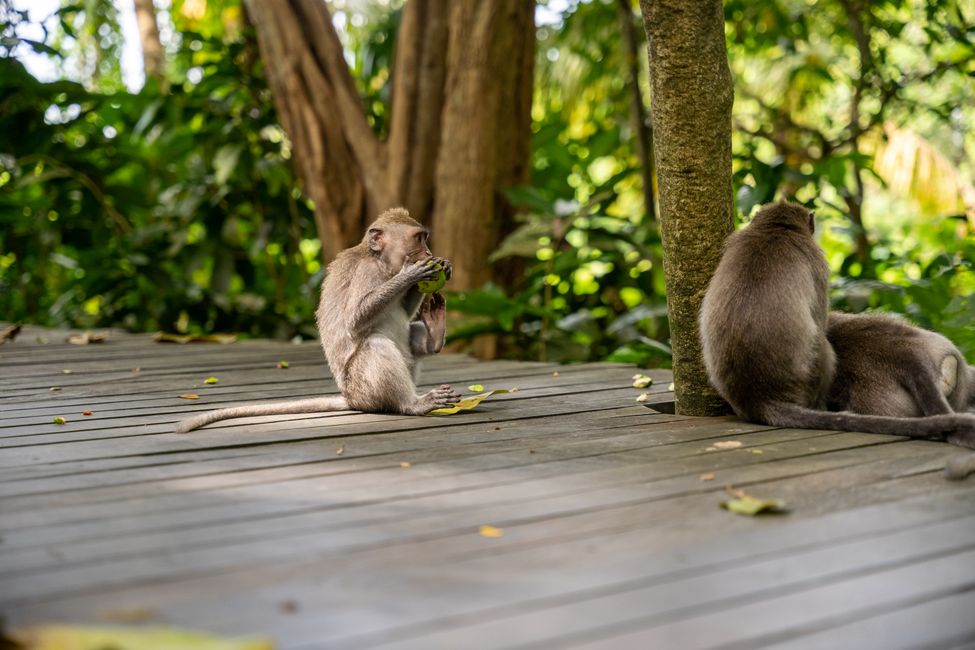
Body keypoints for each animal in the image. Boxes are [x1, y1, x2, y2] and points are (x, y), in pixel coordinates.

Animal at [175, 208, 461, 433]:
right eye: (418, 239)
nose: (429, 251)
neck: (380, 261)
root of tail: (351, 399)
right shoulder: (366, 272)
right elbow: (356, 318)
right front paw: (411, 273)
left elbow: (404, 308)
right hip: (363, 389)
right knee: (376, 344)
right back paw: (412, 404)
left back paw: (434, 332)